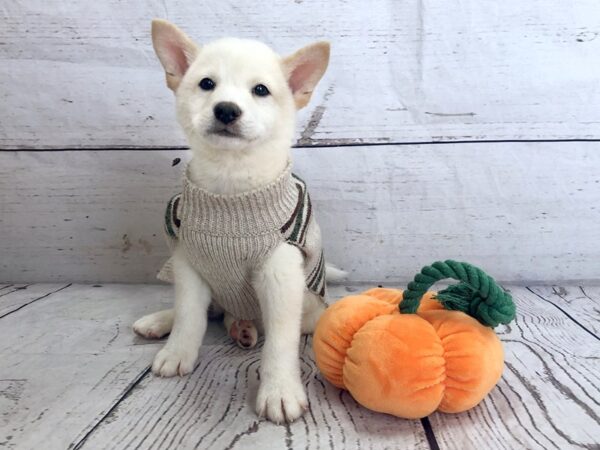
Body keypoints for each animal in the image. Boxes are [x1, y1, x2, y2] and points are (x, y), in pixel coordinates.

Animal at [134, 19, 332, 424]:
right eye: (207, 84)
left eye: (261, 90)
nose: (226, 110)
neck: (230, 191)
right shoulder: (189, 265)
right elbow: (189, 317)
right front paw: (178, 352)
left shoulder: (280, 277)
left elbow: (280, 343)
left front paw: (279, 390)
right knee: (208, 311)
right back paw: (163, 321)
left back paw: (242, 327)